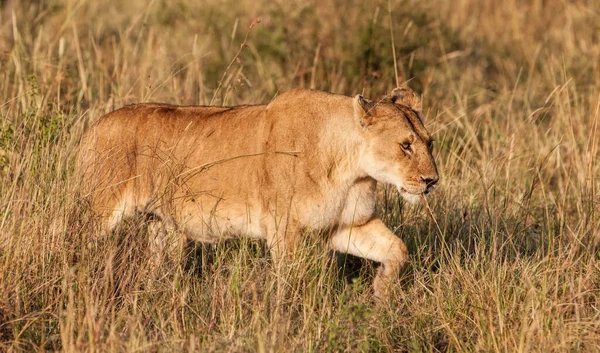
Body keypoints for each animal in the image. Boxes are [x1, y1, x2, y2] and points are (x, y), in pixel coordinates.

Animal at [77, 86, 438, 296]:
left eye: (429, 143)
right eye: (405, 145)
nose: (431, 180)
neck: (352, 172)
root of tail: (96, 124)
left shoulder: (345, 225)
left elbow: (397, 249)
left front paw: (381, 293)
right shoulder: (284, 229)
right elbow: (293, 282)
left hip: (161, 225)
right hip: (99, 211)